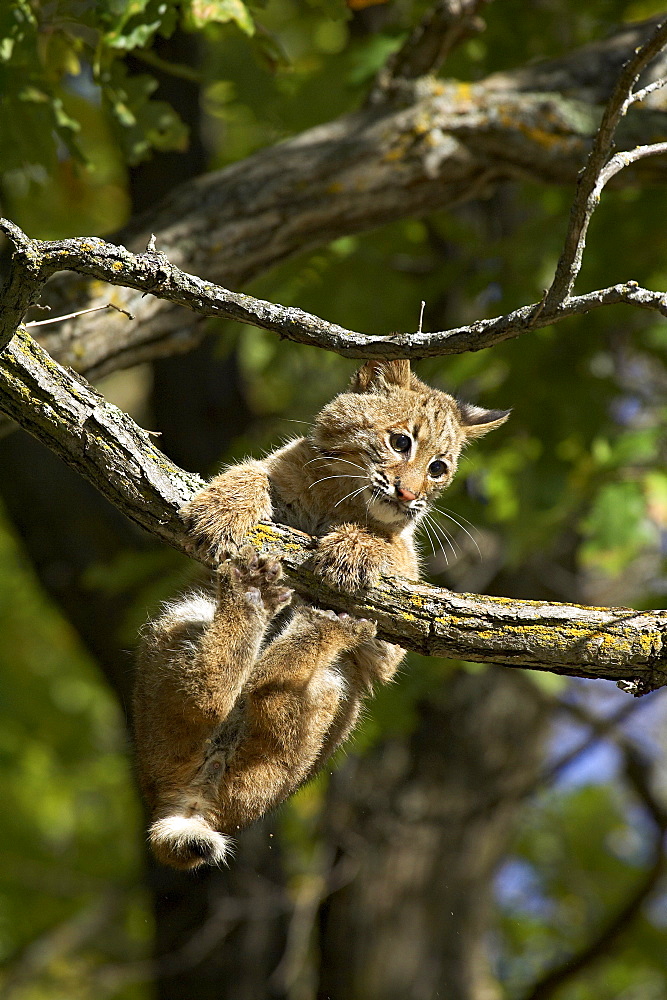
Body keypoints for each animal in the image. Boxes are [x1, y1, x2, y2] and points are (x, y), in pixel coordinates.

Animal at [133, 360, 508, 868]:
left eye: (438, 469)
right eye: (400, 442)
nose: (408, 495)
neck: (342, 496)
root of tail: (183, 803)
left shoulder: (407, 595)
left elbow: (391, 545)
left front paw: (353, 549)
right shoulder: (277, 467)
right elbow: (250, 471)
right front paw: (220, 512)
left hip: (333, 692)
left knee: (260, 684)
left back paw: (315, 619)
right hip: (181, 622)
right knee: (213, 695)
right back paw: (262, 600)